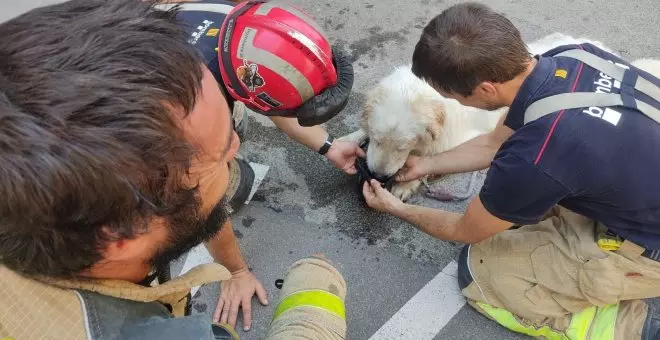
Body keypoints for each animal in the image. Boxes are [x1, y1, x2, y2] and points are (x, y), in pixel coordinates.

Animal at [340, 32, 660, 201]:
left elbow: (436, 156)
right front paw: (349, 140)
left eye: (403, 146)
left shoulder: (463, 138)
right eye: (378, 140)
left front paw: (406, 182)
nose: (379, 175)